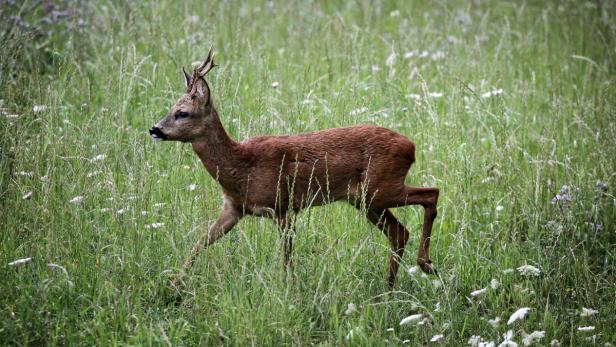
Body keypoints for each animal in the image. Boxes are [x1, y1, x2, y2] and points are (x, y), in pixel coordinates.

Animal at [149, 48, 438, 288]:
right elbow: (198, 244)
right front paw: (172, 284)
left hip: (379, 188)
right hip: (364, 199)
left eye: (183, 113)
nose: (155, 129)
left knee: (431, 193)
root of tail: (411, 146)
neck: (241, 168)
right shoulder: (234, 208)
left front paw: (289, 290)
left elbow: (287, 258)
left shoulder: (282, 206)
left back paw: (425, 265)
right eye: (171, 108)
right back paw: (388, 288)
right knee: (399, 232)